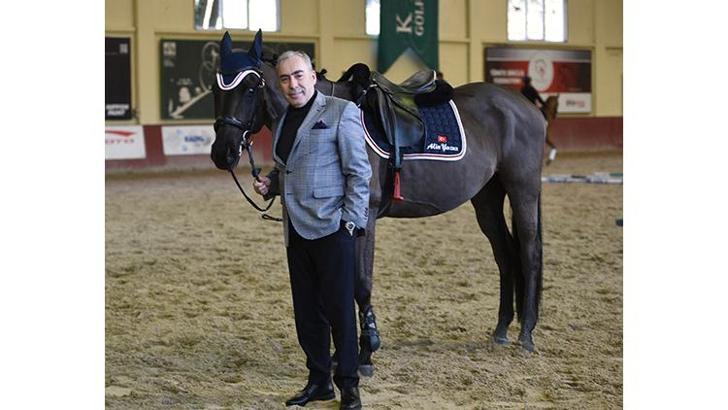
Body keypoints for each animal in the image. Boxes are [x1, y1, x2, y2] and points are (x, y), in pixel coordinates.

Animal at [210, 32, 544, 376]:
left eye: (251, 88)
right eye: (215, 88)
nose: (223, 152)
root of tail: (524, 106)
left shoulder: (363, 216)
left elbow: (361, 283)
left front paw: (366, 355)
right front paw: (341, 355)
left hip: (522, 188)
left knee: (529, 250)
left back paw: (526, 335)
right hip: (487, 198)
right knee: (505, 253)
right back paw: (501, 329)